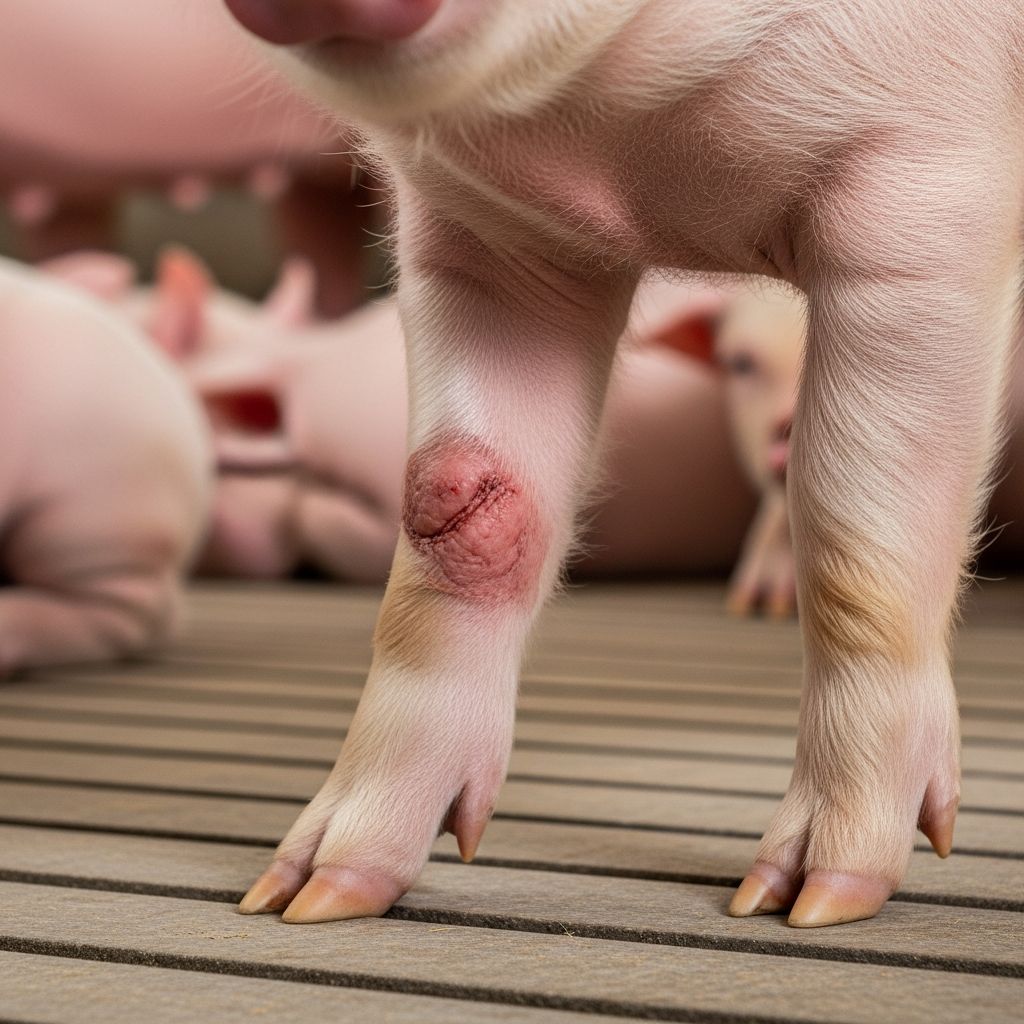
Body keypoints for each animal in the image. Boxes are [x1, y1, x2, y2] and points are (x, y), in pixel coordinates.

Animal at [223, 0, 1024, 928]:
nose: (273, 900)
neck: (624, 160)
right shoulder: (488, 242)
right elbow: (450, 515)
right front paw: (300, 897)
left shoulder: (927, 174)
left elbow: (853, 544)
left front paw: (795, 902)